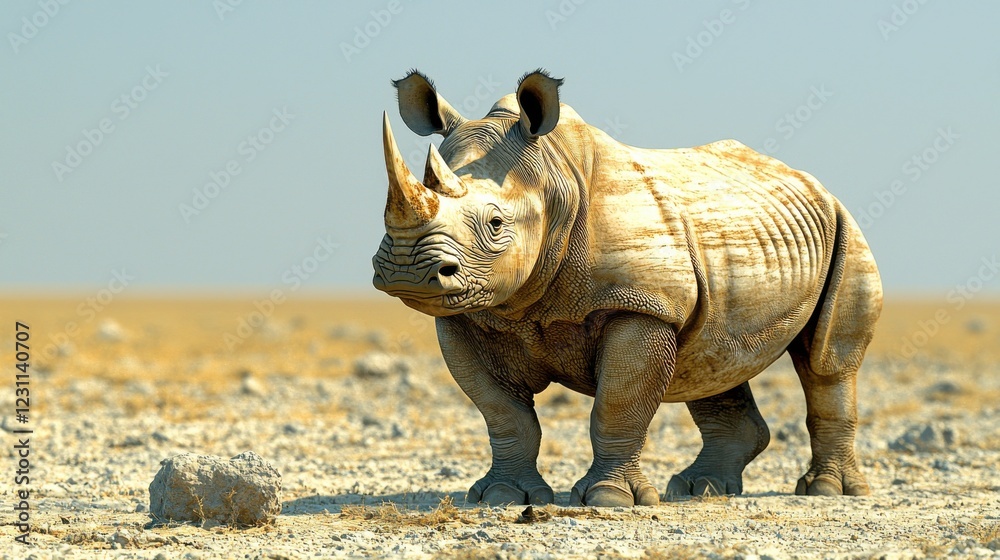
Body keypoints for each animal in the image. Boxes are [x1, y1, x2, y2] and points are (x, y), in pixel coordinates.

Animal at [372, 69, 882, 507]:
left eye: (496, 223)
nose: (406, 271)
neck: (553, 181)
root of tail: (812, 181)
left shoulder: (643, 305)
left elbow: (617, 403)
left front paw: (608, 499)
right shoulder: (466, 314)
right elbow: (502, 413)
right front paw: (501, 497)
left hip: (845, 228)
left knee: (825, 363)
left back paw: (828, 491)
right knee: (711, 356)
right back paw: (699, 490)